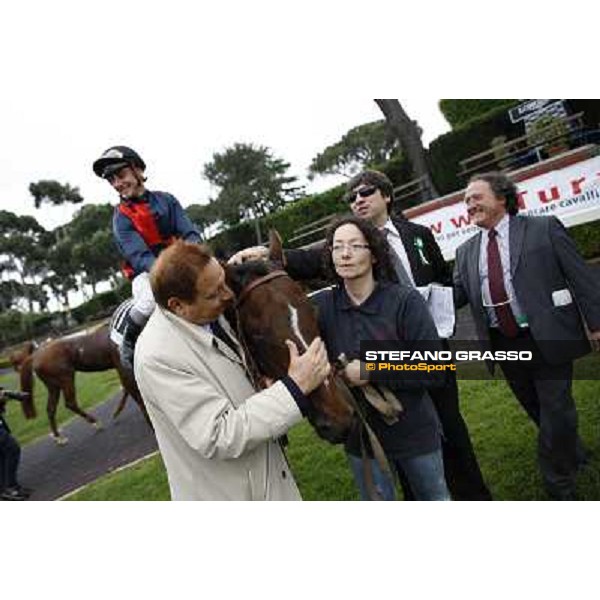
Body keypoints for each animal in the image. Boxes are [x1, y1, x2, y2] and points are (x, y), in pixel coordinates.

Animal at [19, 318, 150, 446]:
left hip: (53, 386)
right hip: (66, 378)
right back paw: (95, 423)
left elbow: (126, 388)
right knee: (70, 403)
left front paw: (117, 412)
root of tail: (35, 355)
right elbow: (130, 387)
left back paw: (59, 438)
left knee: (50, 409)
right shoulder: (121, 366)